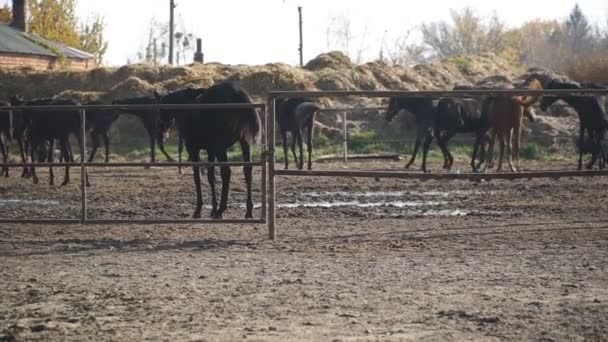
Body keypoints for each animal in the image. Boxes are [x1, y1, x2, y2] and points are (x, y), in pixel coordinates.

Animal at [154, 81, 258, 218]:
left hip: (221, 147)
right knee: (247, 171)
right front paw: (213, 208)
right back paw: (248, 211)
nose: (161, 131)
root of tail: (235, 92)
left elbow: (197, 177)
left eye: (161, 108)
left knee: (226, 172)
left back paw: (221, 210)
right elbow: (210, 177)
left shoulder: (193, 149)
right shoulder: (211, 150)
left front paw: (198, 210)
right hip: (245, 143)